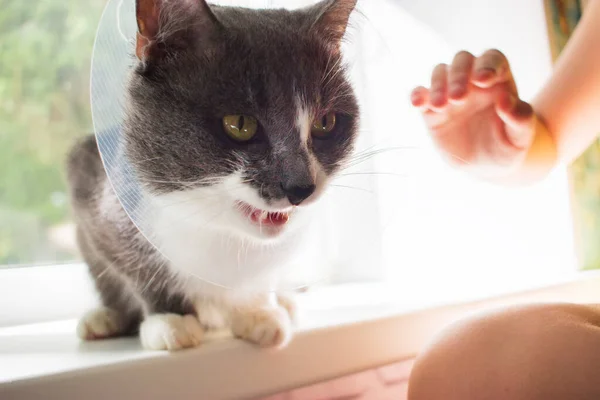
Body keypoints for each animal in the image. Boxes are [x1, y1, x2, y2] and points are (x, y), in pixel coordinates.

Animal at [68, 0, 358, 350]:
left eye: (325, 123)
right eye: (240, 124)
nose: (301, 187)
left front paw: (258, 311)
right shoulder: (99, 196)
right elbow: (136, 264)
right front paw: (170, 319)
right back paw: (105, 318)